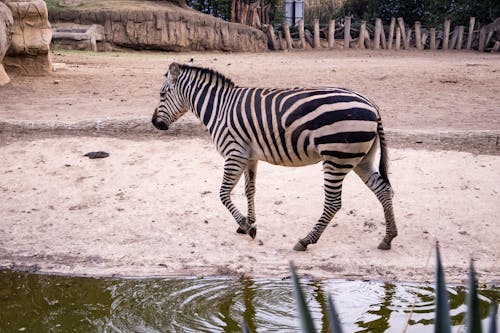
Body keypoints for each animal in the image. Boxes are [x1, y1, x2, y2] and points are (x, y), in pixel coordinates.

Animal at [152, 62, 398, 250]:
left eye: (162, 94)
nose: (155, 123)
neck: (219, 108)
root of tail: (372, 104)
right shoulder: (249, 156)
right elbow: (249, 190)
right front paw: (248, 223)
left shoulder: (234, 153)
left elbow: (222, 194)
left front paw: (248, 227)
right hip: (360, 159)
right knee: (384, 190)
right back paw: (388, 238)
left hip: (336, 158)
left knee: (333, 203)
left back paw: (306, 241)